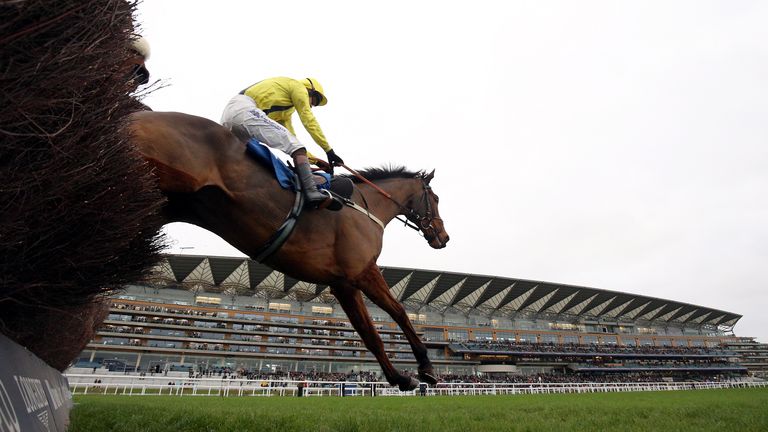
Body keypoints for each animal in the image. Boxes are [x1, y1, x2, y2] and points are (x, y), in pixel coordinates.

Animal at [127, 109, 450, 390]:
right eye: (435, 199)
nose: (443, 237)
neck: (366, 206)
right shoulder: (362, 272)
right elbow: (398, 314)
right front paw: (425, 368)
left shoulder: (342, 283)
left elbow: (369, 334)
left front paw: (401, 377)